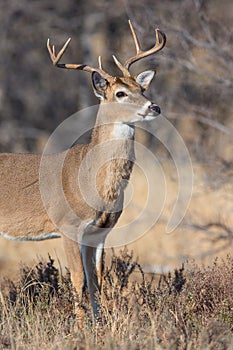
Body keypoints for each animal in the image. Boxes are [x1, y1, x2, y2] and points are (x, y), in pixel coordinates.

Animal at [0, 20, 166, 322]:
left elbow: (96, 279)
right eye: (120, 93)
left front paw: (99, 323)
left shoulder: (100, 232)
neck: (92, 181)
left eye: (142, 88)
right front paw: (79, 326)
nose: (154, 107)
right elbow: (78, 279)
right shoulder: (66, 226)